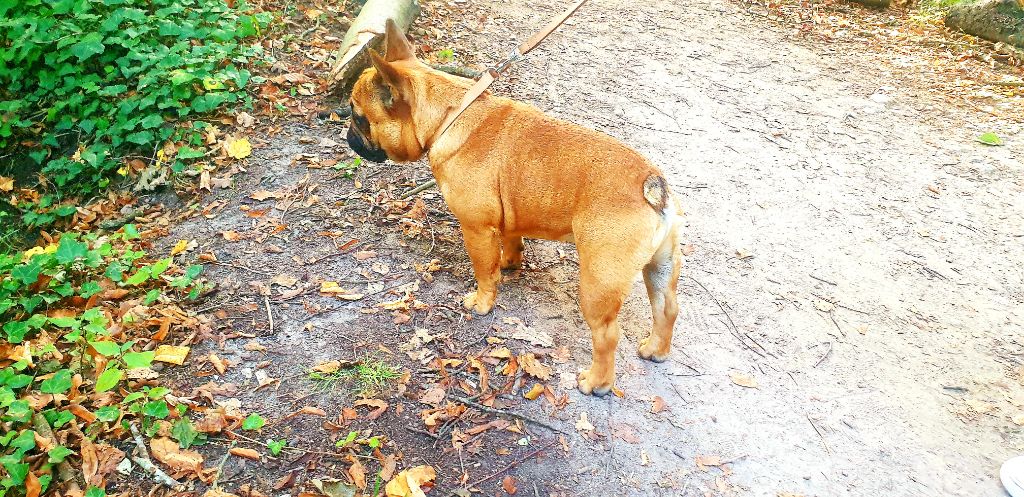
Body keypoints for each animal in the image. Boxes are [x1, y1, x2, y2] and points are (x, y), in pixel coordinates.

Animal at [346, 20, 683, 396]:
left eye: (358, 116)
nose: (348, 136)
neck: (448, 116)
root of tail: (653, 184)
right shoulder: (504, 222)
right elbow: (510, 243)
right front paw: (509, 263)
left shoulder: (475, 229)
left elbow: (483, 272)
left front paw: (481, 303)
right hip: (661, 265)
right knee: (667, 308)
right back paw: (656, 350)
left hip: (599, 280)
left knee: (608, 335)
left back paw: (596, 382)